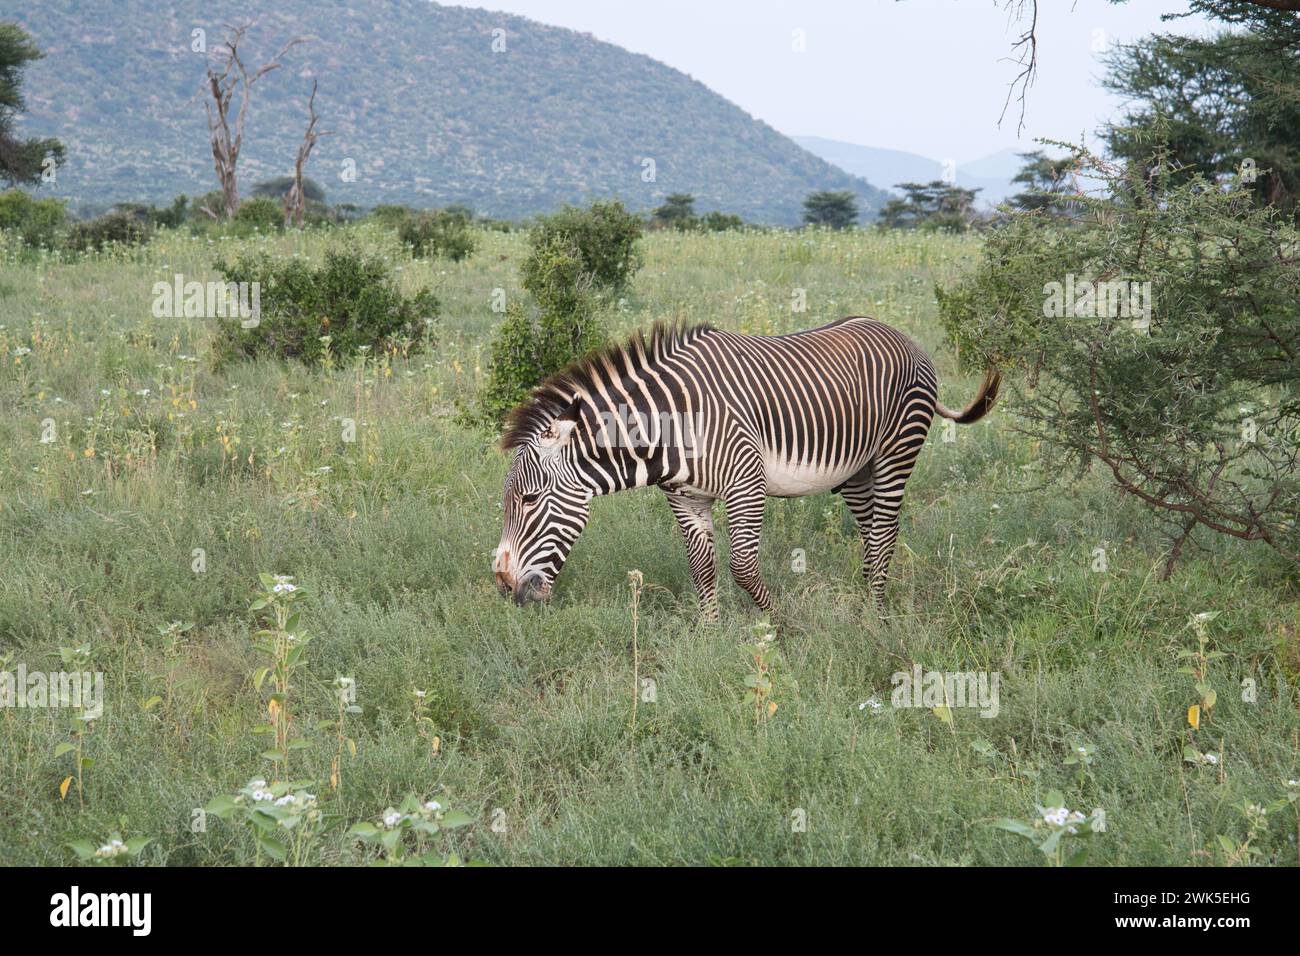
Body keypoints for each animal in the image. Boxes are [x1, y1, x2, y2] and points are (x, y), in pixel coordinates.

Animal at [493, 317, 999, 615]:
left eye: (530, 500)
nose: (503, 585)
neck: (672, 426)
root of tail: (902, 335)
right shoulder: (686, 498)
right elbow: (702, 568)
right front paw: (708, 635)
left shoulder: (746, 485)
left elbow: (740, 567)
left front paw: (777, 626)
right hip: (858, 470)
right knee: (872, 530)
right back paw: (863, 597)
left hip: (897, 450)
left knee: (886, 531)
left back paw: (874, 613)